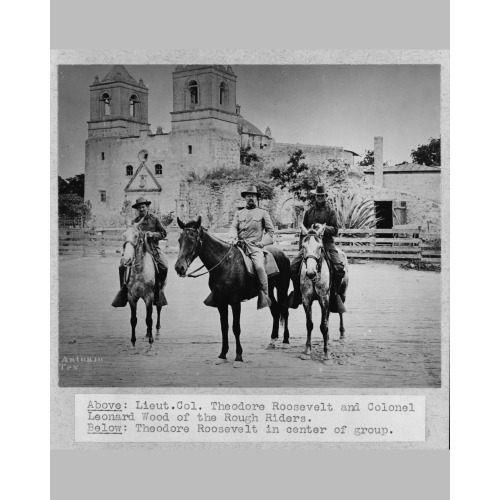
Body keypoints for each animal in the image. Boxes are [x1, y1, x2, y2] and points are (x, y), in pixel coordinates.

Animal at [118, 221, 164, 350]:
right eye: (123, 236)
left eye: (136, 236)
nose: (126, 260)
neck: (139, 270)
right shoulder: (132, 297)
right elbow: (134, 319)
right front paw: (133, 341)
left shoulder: (149, 296)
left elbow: (149, 319)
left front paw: (151, 341)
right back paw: (148, 332)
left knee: (158, 308)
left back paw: (157, 327)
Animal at [175, 216, 290, 368]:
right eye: (180, 239)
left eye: (193, 238)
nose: (179, 267)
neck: (225, 265)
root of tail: (283, 254)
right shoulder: (221, 302)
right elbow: (224, 327)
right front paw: (222, 355)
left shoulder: (235, 302)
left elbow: (236, 327)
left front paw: (238, 357)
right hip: (269, 291)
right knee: (275, 310)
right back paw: (272, 341)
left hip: (282, 288)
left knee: (284, 310)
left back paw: (286, 341)